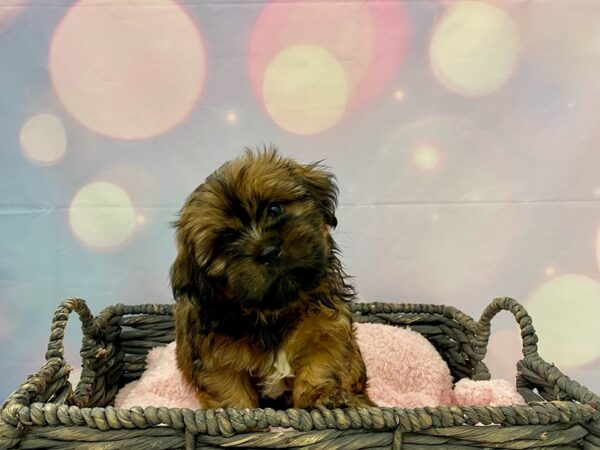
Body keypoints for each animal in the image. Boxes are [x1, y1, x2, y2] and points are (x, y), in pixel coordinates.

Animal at [171, 149, 372, 410]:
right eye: (225, 242)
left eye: (274, 209)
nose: (268, 252)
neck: (273, 314)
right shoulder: (217, 360)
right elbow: (230, 392)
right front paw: (239, 415)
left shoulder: (327, 331)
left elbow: (319, 367)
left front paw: (322, 395)